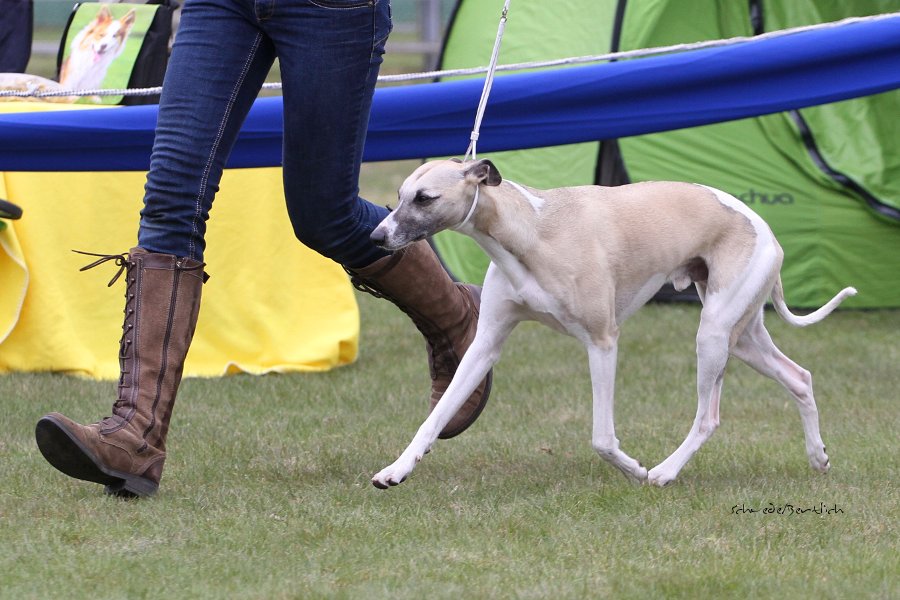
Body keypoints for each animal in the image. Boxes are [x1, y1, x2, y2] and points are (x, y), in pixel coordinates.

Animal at [368, 158, 856, 488]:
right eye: (401, 193)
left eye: (425, 197)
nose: (376, 237)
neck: (533, 230)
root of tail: (766, 230)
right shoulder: (486, 343)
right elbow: (435, 417)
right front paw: (396, 469)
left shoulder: (603, 340)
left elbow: (602, 438)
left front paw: (635, 468)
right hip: (741, 335)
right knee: (799, 376)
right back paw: (818, 457)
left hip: (714, 334)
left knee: (709, 417)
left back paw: (664, 471)